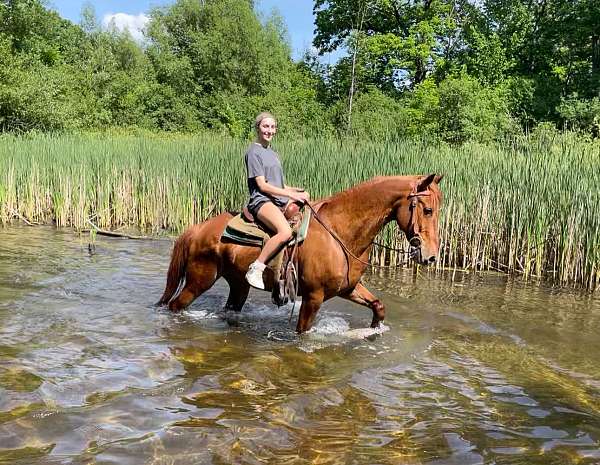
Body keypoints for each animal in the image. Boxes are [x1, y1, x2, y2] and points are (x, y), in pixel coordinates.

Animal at [157, 173, 442, 330]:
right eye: (428, 210)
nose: (430, 255)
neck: (340, 232)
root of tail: (197, 229)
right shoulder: (313, 297)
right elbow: (303, 332)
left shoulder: (348, 288)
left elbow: (378, 306)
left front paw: (374, 329)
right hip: (199, 280)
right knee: (175, 305)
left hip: (238, 285)